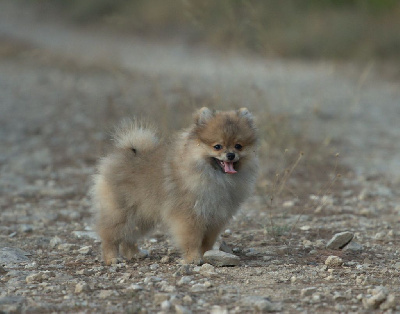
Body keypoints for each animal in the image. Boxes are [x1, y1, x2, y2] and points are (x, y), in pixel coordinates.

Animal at [92, 107, 258, 264]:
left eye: (238, 146)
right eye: (217, 146)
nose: (230, 155)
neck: (216, 177)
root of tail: (126, 151)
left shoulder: (216, 217)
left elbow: (207, 241)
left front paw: (207, 255)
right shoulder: (190, 216)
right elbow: (192, 239)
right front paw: (193, 258)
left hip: (142, 215)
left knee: (129, 235)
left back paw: (135, 253)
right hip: (122, 213)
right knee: (110, 235)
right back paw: (112, 258)